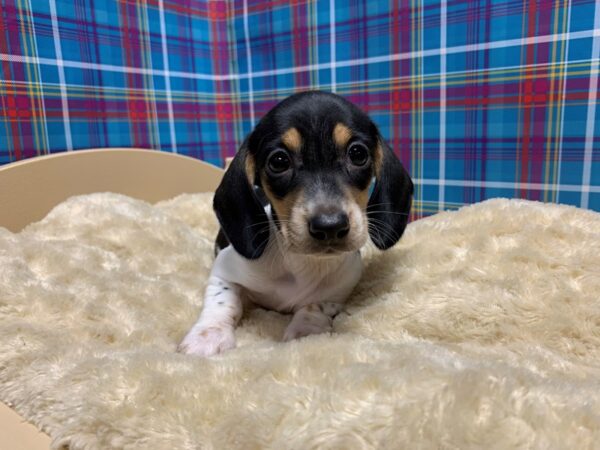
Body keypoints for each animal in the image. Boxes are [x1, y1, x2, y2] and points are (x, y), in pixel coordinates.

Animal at [178, 92, 412, 358]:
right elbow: (223, 301)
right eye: (279, 161)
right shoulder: (223, 270)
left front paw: (306, 331)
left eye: (358, 154)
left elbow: (315, 305)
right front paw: (208, 335)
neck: (301, 263)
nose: (329, 226)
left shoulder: (339, 290)